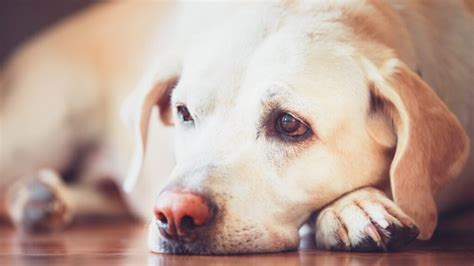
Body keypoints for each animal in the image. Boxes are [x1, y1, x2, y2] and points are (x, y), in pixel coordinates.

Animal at [0, 0, 474, 256]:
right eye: (184, 112)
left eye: (289, 124)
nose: (174, 214)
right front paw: (352, 206)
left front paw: (353, 205)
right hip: (36, 134)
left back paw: (41, 199)